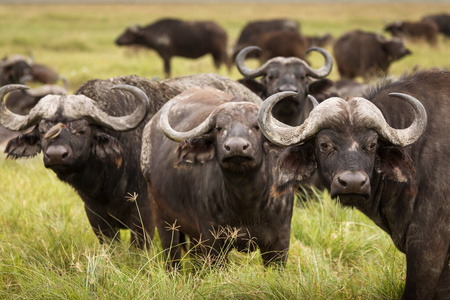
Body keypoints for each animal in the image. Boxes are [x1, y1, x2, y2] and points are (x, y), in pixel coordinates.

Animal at [0, 73, 260, 248]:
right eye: (43, 130)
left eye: (82, 130)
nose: (56, 154)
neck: (107, 182)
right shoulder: (95, 216)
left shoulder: (144, 215)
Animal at [141, 86, 296, 270]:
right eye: (219, 128)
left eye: (256, 127)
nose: (236, 147)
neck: (246, 204)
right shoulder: (212, 240)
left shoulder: (280, 242)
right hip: (162, 218)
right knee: (172, 255)